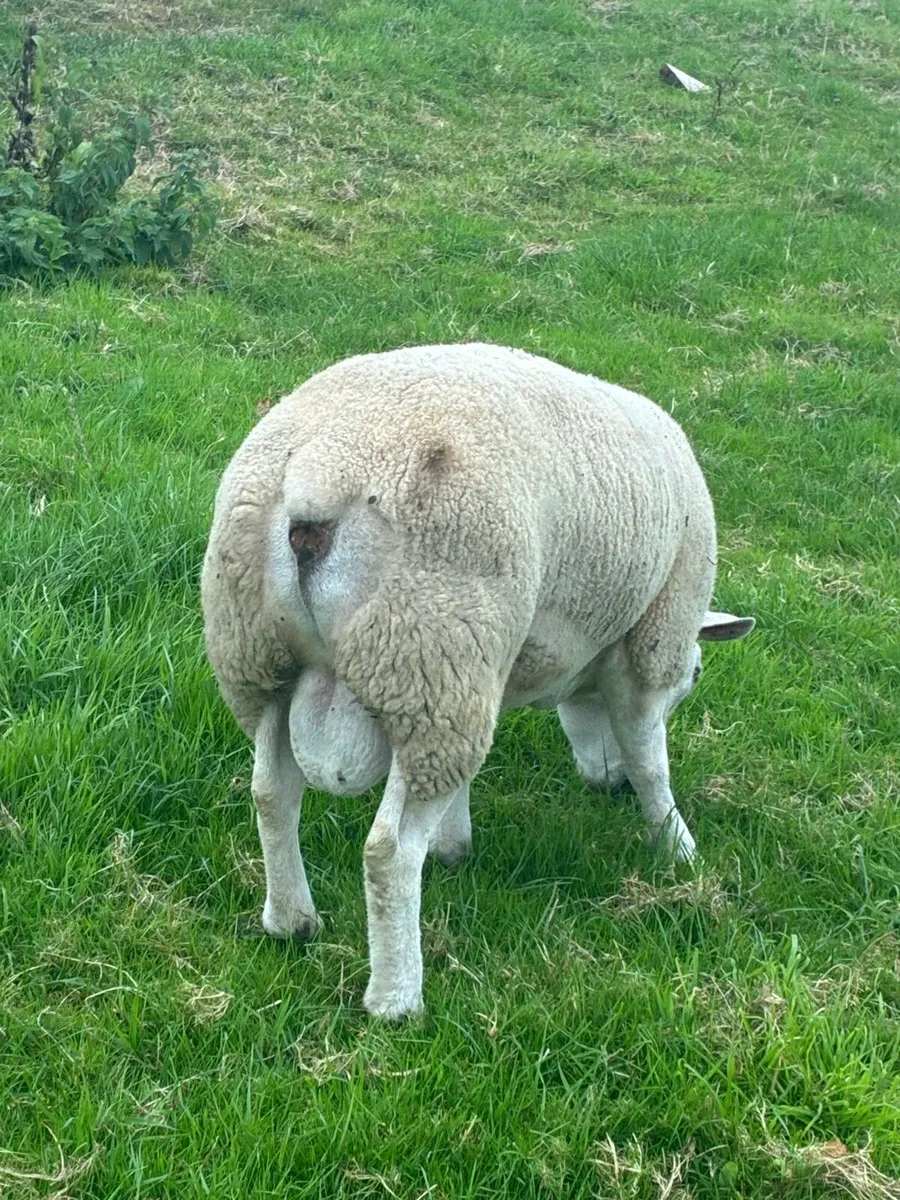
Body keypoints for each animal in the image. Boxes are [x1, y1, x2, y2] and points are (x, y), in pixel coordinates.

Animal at [201, 343, 754, 1020]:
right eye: (694, 676)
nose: (608, 786)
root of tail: (316, 477)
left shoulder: (488, 666)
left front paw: (455, 845)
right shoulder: (655, 638)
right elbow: (652, 762)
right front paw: (679, 849)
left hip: (273, 659)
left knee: (272, 795)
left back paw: (291, 922)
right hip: (427, 648)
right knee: (387, 851)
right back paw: (396, 996)